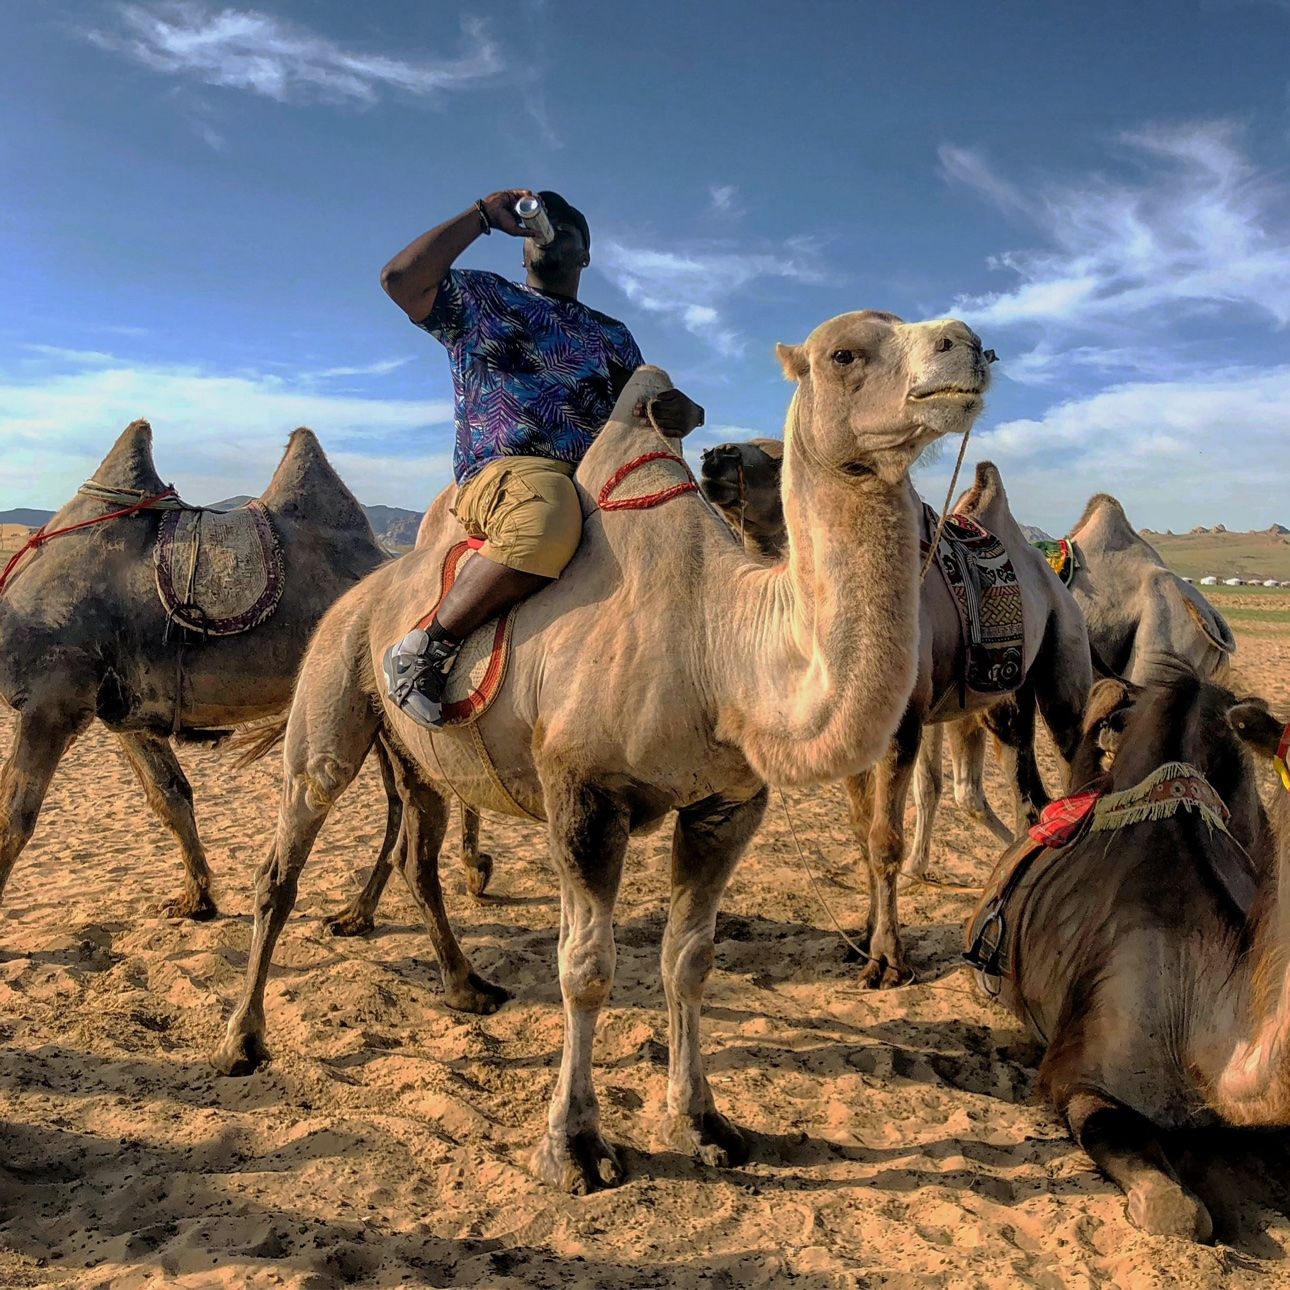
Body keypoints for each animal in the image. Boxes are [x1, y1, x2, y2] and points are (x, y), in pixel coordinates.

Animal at [0, 421, 387, 920]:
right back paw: (359, 912)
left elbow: (14, 816)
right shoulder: (125, 709)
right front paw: (196, 900)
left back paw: (360, 911)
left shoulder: (53, 700)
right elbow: (170, 795)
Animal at [209, 309, 994, 1193]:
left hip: (419, 760)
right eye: (844, 353)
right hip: (330, 692)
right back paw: (242, 1040)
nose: (968, 344)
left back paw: (467, 989)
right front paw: (575, 1146)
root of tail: (362, 593)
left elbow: (688, 959)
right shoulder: (583, 792)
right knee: (283, 862)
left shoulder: (729, 803)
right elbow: (584, 968)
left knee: (418, 850)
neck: (716, 644)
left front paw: (705, 1122)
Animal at [699, 442, 1091, 985]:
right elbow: (863, 835)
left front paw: (888, 961)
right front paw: (864, 939)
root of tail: (1052, 577)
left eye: (779, 459)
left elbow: (885, 839)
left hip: (1064, 656)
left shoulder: (903, 725)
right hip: (1006, 702)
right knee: (1030, 795)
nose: (713, 455)